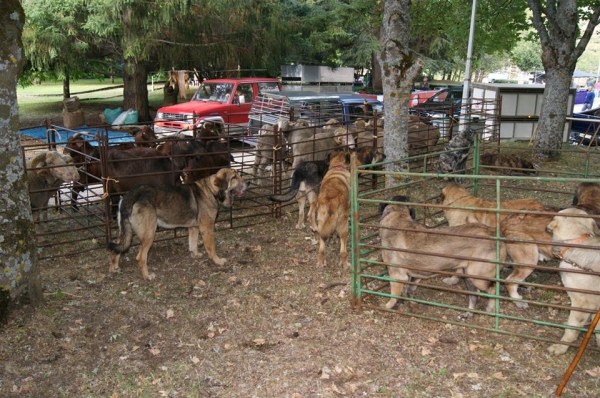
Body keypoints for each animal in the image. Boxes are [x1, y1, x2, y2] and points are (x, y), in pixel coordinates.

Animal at [108, 168, 248, 280]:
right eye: (234, 177)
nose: (249, 182)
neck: (211, 190)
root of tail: (131, 195)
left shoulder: (193, 228)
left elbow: (193, 244)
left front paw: (195, 255)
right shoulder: (207, 229)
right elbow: (211, 248)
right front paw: (218, 261)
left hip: (125, 231)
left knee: (117, 248)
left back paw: (114, 267)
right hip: (149, 234)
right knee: (140, 257)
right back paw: (147, 276)